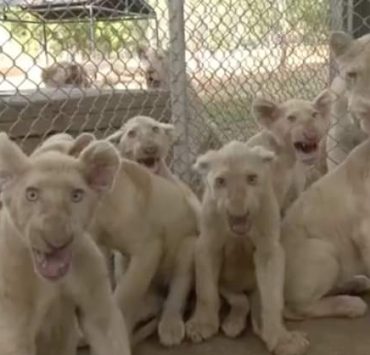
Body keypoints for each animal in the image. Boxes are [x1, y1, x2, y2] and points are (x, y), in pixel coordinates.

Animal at [0, 133, 130, 355]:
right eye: (32, 194)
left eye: (76, 195)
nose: (57, 239)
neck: (53, 283)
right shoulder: (14, 328)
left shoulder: (100, 311)